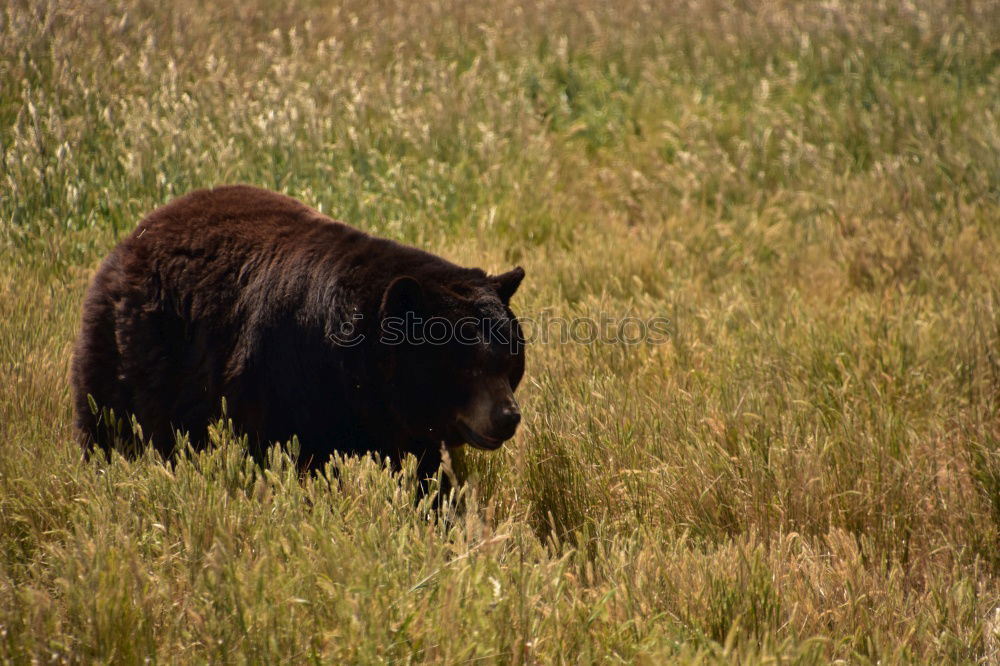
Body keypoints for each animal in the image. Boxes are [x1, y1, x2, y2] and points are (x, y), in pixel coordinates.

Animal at [69, 184, 524, 480]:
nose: (507, 416)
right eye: (465, 365)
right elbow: (289, 457)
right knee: (110, 424)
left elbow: (425, 477)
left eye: (509, 361)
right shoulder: (282, 380)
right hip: (133, 352)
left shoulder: (398, 422)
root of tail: (135, 234)